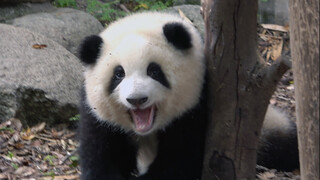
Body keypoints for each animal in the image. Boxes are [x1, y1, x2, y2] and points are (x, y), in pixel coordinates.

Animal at [79, 11, 298, 179]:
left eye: (154, 71)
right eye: (118, 74)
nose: (137, 99)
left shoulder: (195, 106)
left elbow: (179, 160)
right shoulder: (99, 117)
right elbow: (100, 156)